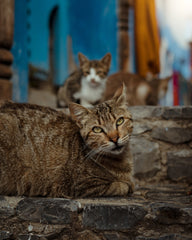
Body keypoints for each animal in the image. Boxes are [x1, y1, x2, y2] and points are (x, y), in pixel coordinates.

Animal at [0, 85, 134, 198]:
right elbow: (120, 186)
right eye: (97, 129)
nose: (114, 138)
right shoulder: (83, 185)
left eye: (120, 121)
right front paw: (126, 185)